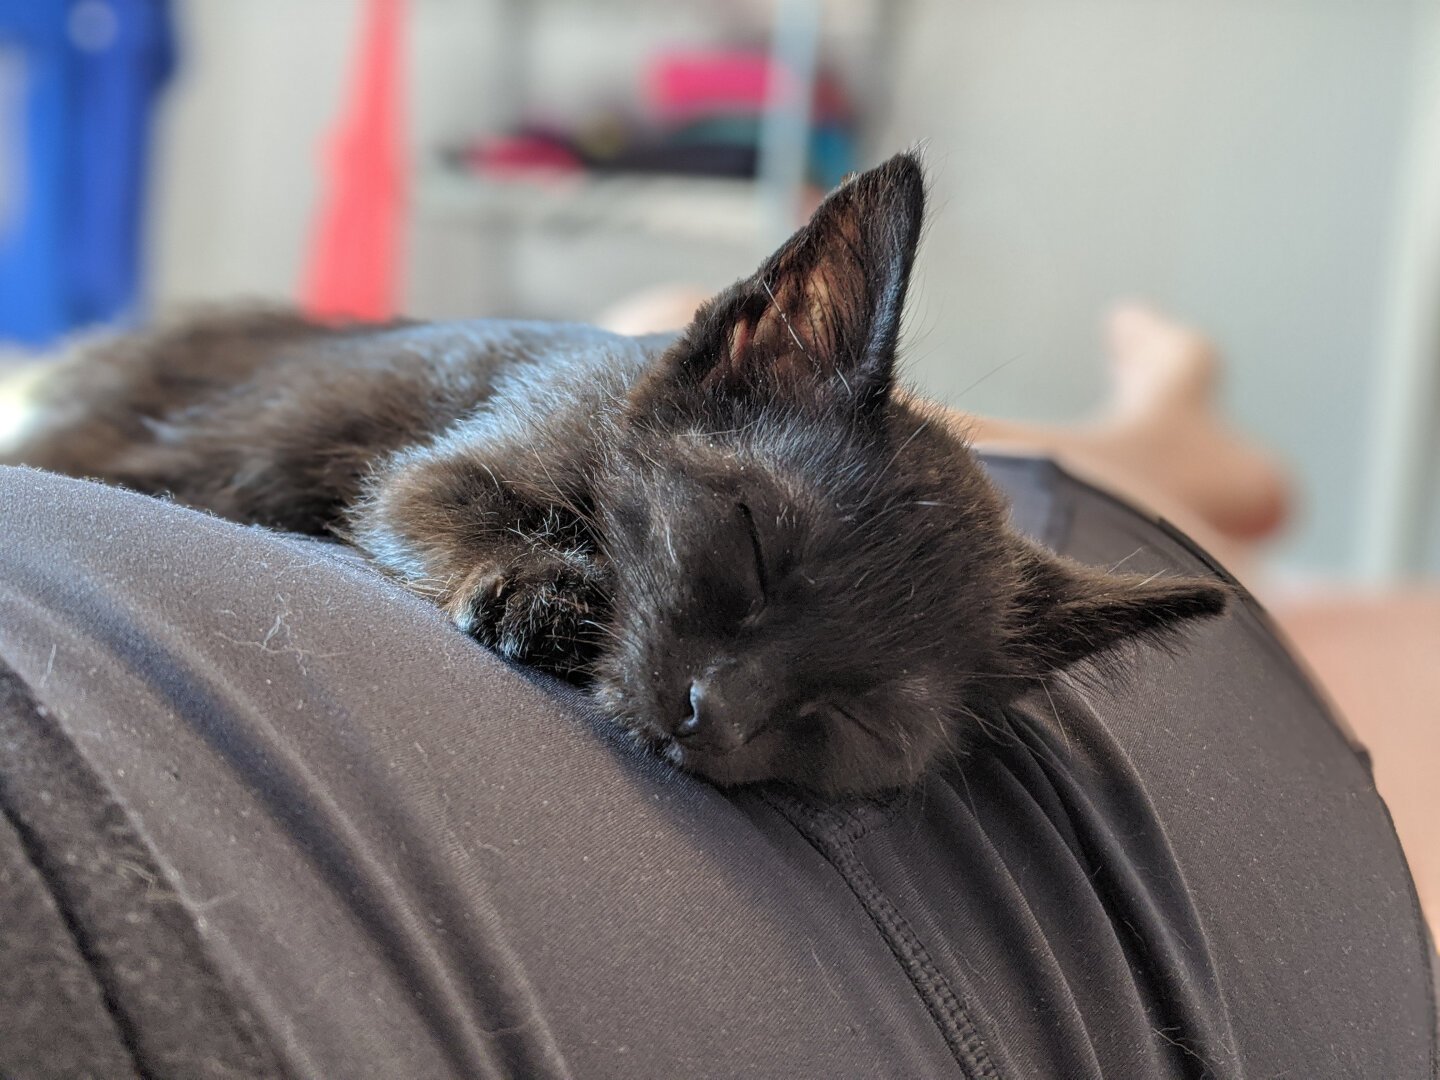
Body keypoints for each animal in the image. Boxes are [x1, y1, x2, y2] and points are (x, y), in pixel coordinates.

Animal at [5, 152, 1232, 794]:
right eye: (751, 539)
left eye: (867, 713)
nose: (712, 713)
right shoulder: (433, 462)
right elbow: (426, 501)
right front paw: (539, 589)